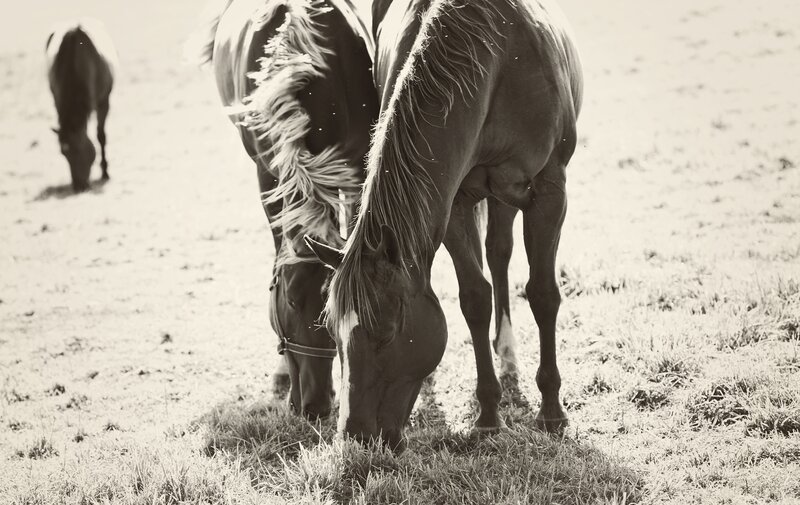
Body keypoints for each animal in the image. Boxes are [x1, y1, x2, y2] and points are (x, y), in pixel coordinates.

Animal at [46, 19, 117, 192]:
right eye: (64, 154)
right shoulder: (57, 101)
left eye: (79, 150)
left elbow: (101, 136)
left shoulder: (104, 102)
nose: (79, 186)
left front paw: (105, 172)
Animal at [306, 0, 582, 452]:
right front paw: (488, 416)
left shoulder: (549, 191)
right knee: (496, 254)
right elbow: (475, 298)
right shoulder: (454, 202)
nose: (355, 437)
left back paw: (509, 355)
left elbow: (542, 294)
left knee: (501, 253)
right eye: (332, 333)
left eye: (386, 332)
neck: (496, 57)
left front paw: (552, 412)